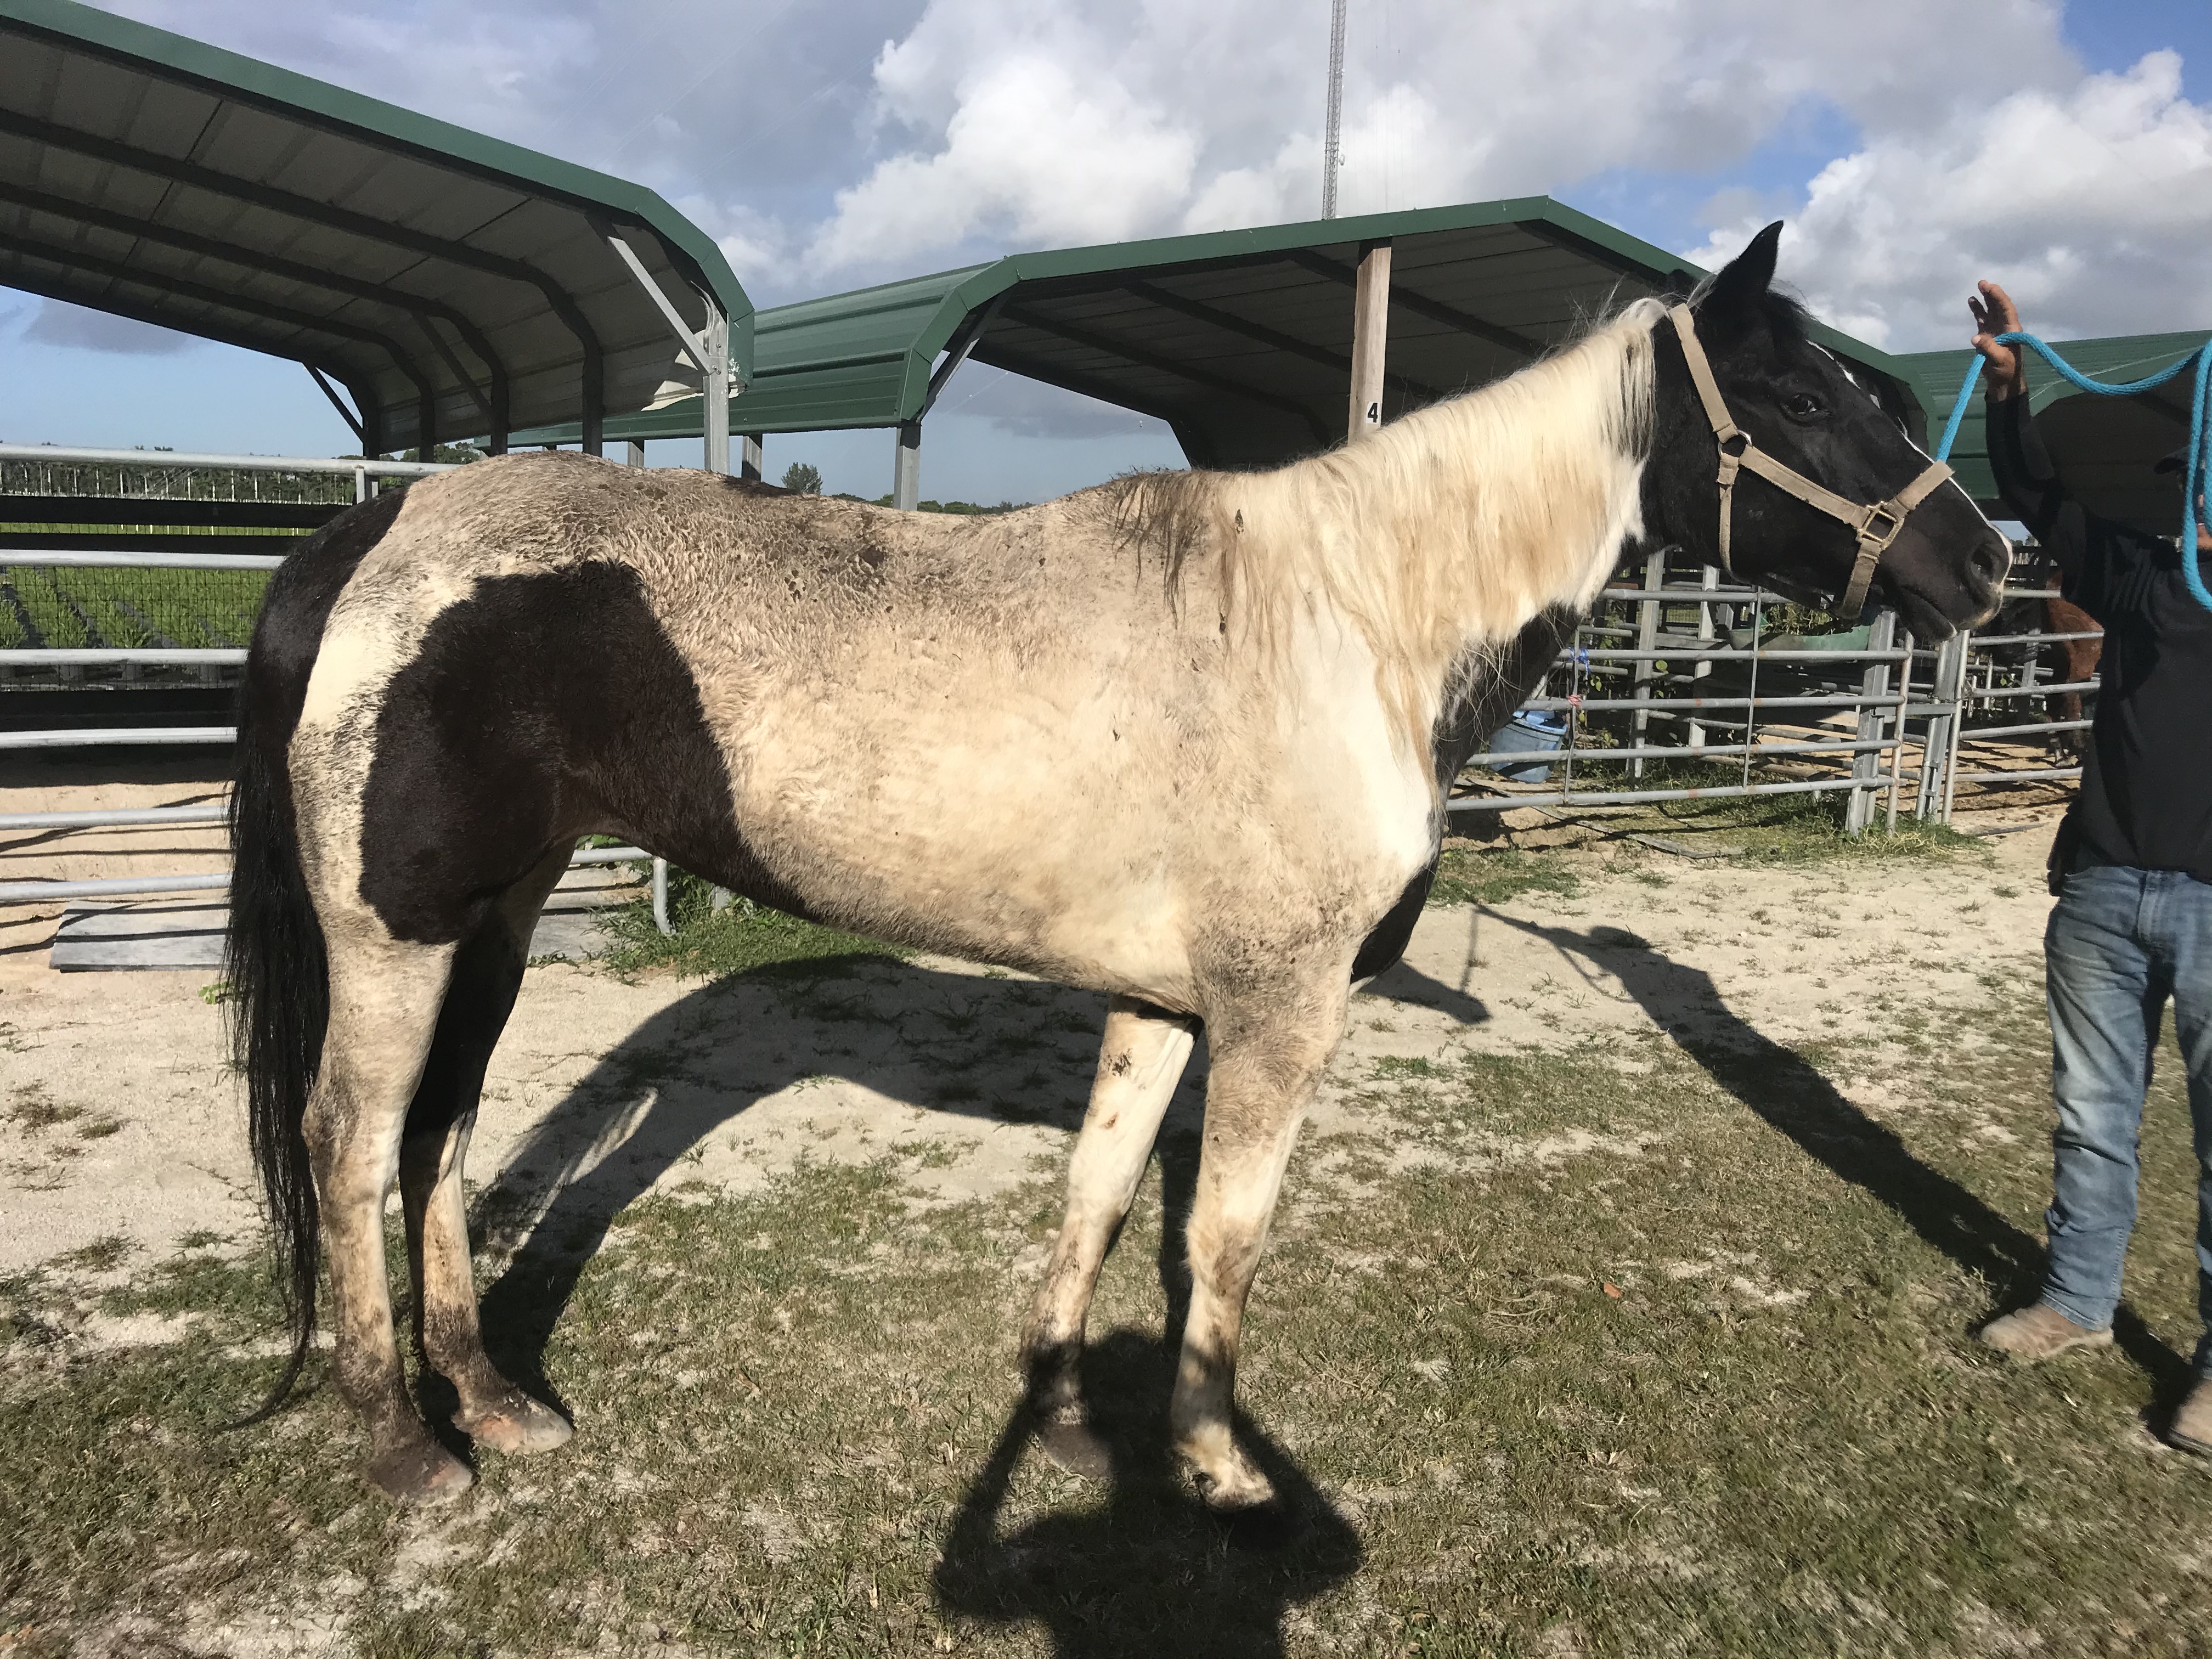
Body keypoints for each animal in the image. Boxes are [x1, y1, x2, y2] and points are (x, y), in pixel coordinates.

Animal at [225, 222, 2009, 1508]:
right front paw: (1217, 1467)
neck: (1345, 623)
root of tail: (376, 532)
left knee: (442, 1137)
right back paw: (403, 1444)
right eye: (1799, 401)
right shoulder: (1280, 1016)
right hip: (396, 937)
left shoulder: (1164, 1004)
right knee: (349, 1142)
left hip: (497, 922)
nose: (1985, 564)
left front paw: (1070, 1421)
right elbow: (1223, 1239)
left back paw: (496, 1404)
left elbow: (1096, 1191)